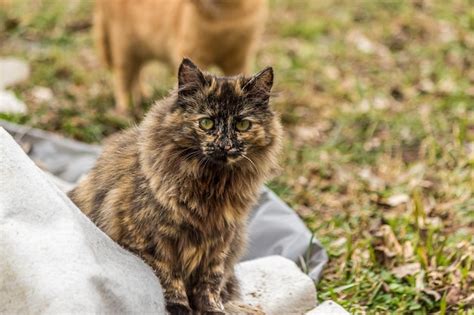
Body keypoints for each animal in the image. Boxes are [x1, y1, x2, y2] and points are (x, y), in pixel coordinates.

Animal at [67, 59, 282, 315]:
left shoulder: (220, 242)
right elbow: (169, 278)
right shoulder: (152, 241)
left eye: (242, 124)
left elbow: (210, 281)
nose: (225, 145)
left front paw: (212, 309)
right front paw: (180, 308)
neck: (212, 187)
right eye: (206, 123)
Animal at [94, 0, 268, 115]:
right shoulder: (192, 52)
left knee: (137, 73)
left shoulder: (241, 57)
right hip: (123, 44)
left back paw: (143, 96)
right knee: (122, 79)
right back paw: (125, 109)